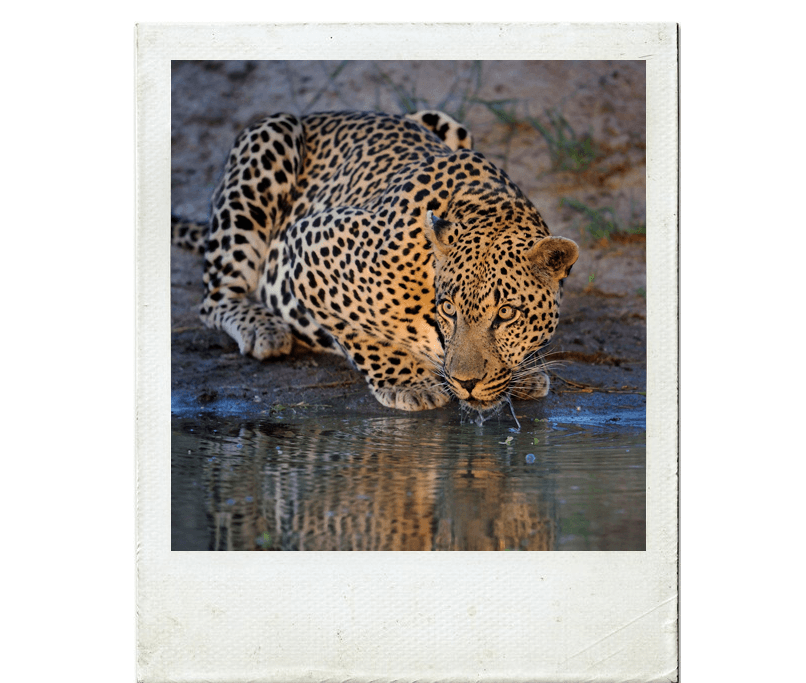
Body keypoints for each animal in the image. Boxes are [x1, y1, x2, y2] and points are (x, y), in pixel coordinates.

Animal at [174, 109, 580, 414]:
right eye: (449, 308)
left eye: (507, 313)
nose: (466, 383)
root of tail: (319, 114)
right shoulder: (308, 243)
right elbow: (359, 335)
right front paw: (407, 382)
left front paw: (526, 372)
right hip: (270, 139)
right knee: (215, 297)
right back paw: (264, 330)